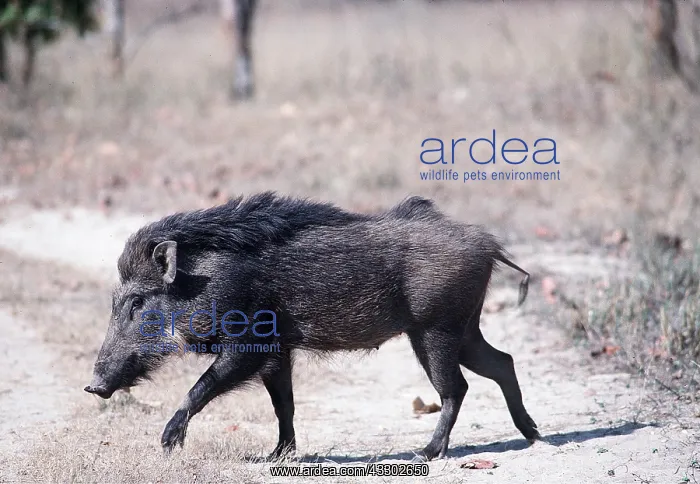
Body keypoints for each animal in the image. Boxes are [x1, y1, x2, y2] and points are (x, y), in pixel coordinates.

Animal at [85, 192, 539, 461]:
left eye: (137, 302)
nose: (93, 386)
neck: (205, 279)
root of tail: (488, 244)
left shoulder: (249, 346)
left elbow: (200, 387)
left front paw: (168, 443)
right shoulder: (277, 352)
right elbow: (283, 404)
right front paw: (277, 457)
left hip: (436, 330)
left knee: (456, 388)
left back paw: (425, 453)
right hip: (463, 330)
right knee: (503, 362)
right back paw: (531, 434)